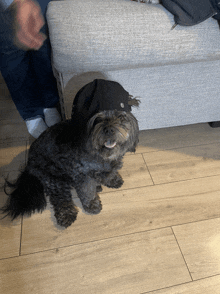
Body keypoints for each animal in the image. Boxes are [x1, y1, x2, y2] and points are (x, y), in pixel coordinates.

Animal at [1, 78, 139, 227]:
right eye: (97, 119)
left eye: (121, 117)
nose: (109, 129)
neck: (101, 155)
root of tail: (29, 165)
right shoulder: (82, 175)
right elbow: (87, 191)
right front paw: (92, 204)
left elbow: (111, 172)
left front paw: (113, 179)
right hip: (54, 179)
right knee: (60, 198)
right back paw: (66, 214)